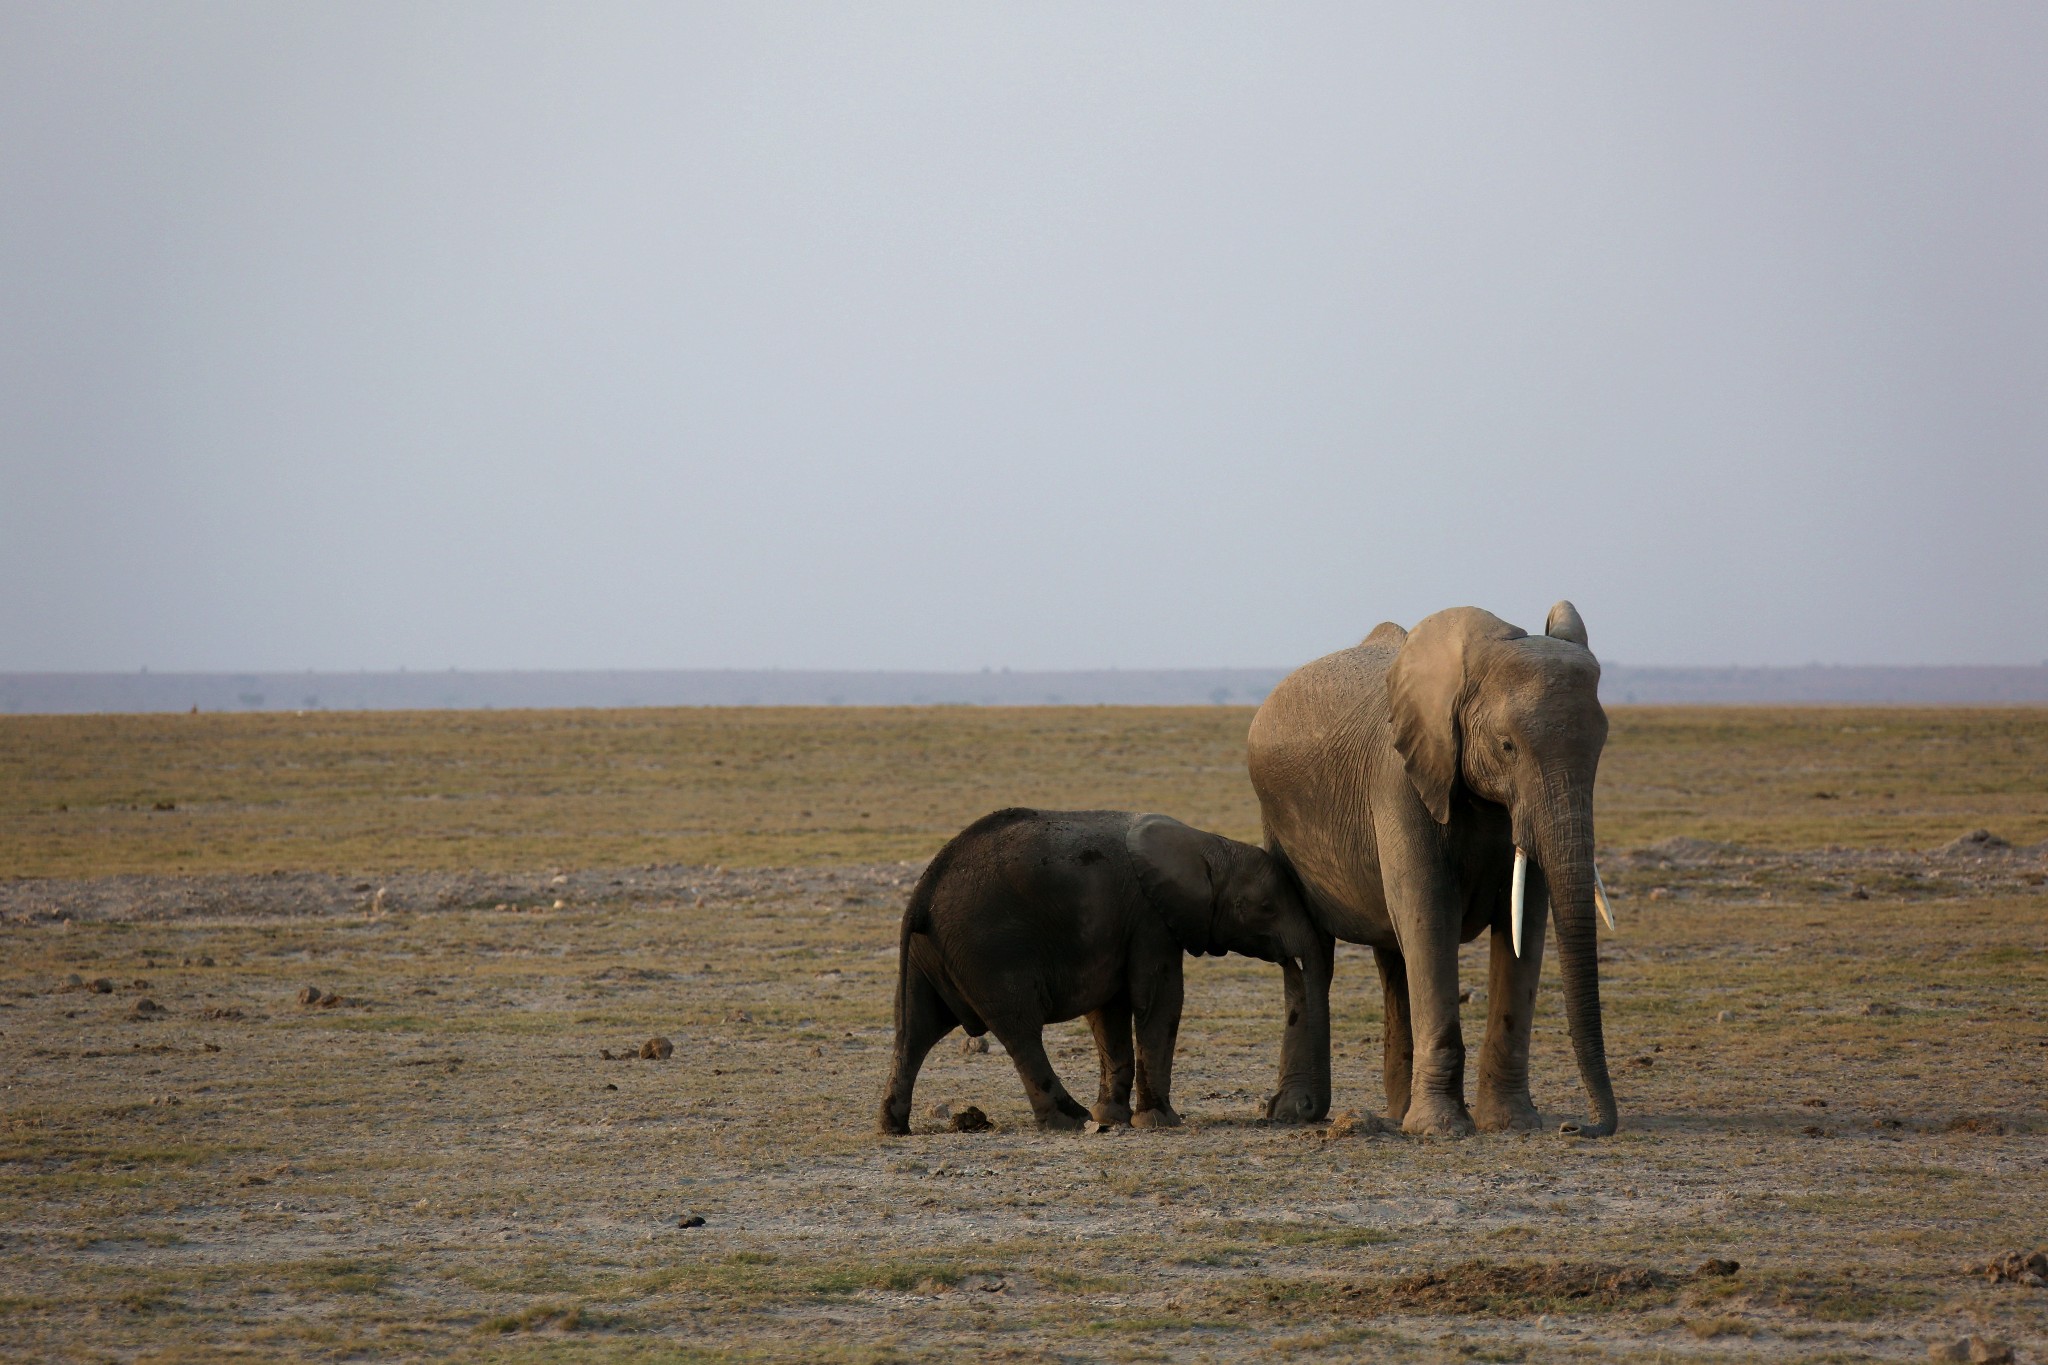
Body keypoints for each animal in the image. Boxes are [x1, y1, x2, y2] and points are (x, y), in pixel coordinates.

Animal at [876, 806, 1327, 1137]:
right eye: (1266, 908)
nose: (1297, 1110)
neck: (1206, 844)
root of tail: (921, 895)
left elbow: (1108, 1012)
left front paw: (1112, 1118)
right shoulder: (1150, 921)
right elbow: (1160, 1001)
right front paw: (1160, 1122)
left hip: (931, 954)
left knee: (913, 1031)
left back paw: (895, 1127)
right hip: (988, 951)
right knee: (1020, 1030)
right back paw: (1070, 1120)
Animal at [1245, 601, 1613, 1137]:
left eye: (1602, 746)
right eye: (1507, 746)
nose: (1575, 1128)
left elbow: (1523, 924)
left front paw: (1512, 1124)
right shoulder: (1399, 780)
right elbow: (1430, 915)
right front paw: (1441, 1129)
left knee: (1394, 959)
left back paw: (1398, 1113)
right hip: (1277, 822)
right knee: (1312, 953)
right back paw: (1299, 1111)